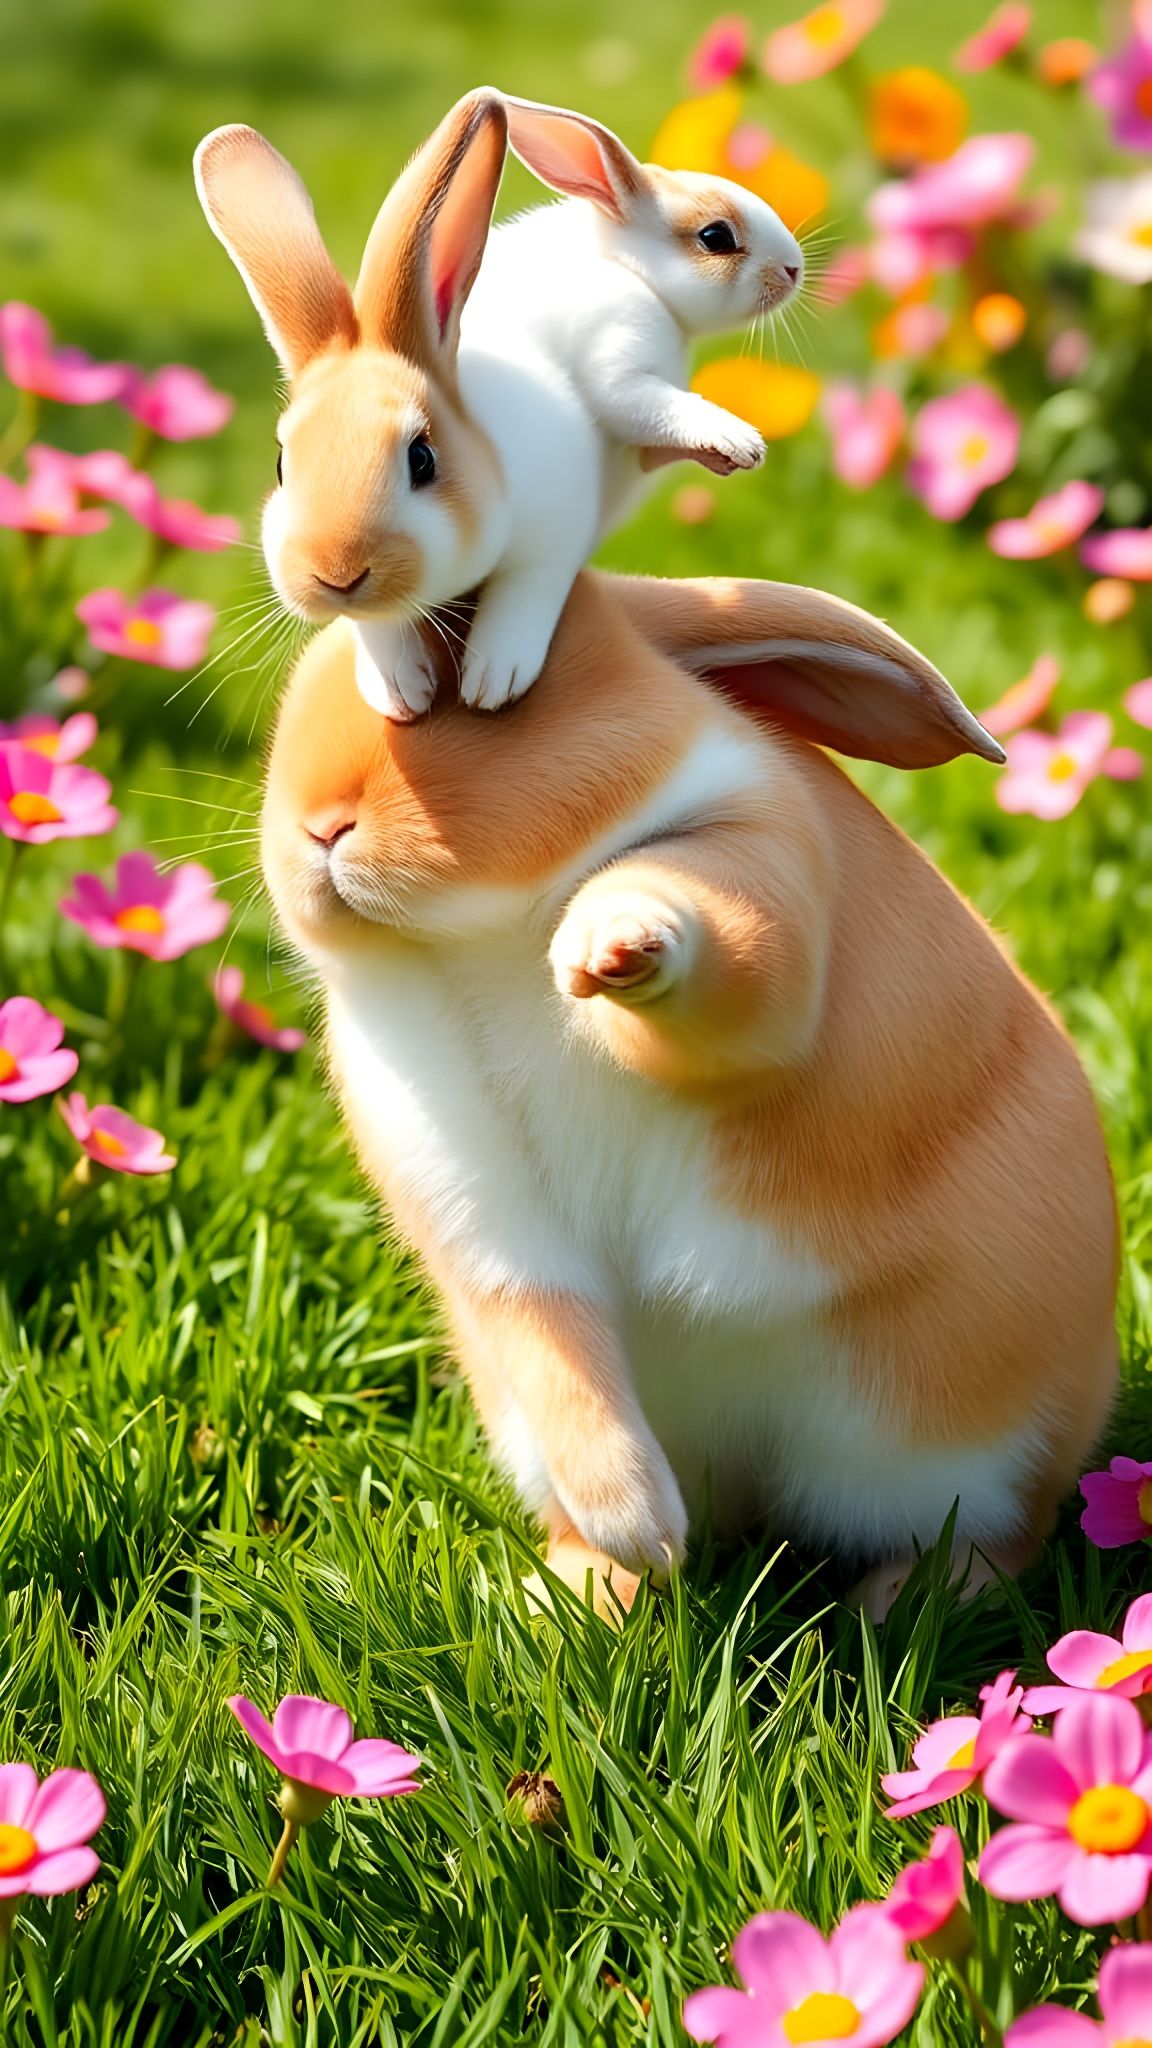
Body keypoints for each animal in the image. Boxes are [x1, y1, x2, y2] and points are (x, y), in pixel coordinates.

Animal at [194, 91, 803, 725]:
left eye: (421, 459)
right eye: (716, 237)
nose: (794, 268)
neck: (628, 271)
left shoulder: (552, 541)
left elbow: (524, 595)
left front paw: (493, 680)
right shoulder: (621, 366)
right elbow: (647, 402)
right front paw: (398, 690)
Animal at [259, 568, 1119, 1624]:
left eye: (479, 686)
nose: (317, 826)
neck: (478, 937)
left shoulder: (760, 861)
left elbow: (720, 944)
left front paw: (610, 942)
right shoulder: (488, 1228)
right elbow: (551, 1334)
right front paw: (639, 1526)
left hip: (964, 1445)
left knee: (1002, 1532)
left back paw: (904, 1602)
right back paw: (582, 1588)